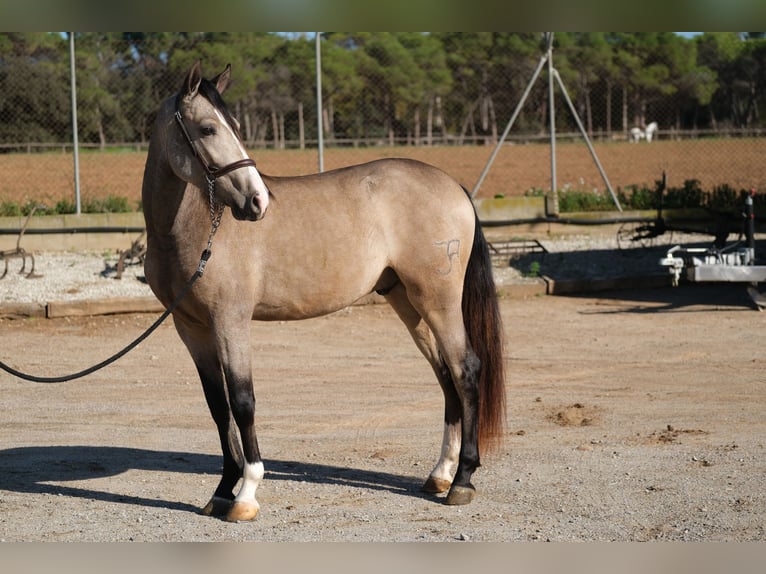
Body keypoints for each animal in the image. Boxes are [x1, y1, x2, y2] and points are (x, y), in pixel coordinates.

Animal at [141, 62, 508, 520]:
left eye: (236, 126)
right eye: (208, 128)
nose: (258, 202)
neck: (193, 227)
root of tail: (454, 186)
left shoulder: (231, 320)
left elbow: (243, 401)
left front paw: (246, 493)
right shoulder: (191, 327)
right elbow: (217, 405)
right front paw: (223, 489)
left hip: (437, 301)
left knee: (466, 371)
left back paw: (462, 479)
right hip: (409, 303)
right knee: (445, 376)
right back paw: (440, 474)